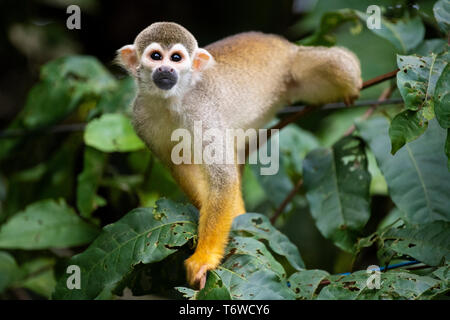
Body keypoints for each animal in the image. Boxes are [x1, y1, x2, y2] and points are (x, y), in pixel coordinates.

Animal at [117, 21, 362, 288]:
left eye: (176, 58)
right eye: (156, 56)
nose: (166, 69)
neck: (170, 101)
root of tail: (278, 41)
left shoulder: (201, 110)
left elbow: (223, 178)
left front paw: (204, 258)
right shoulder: (141, 118)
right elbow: (182, 167)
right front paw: (228, 219)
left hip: (295, 65)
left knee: (339, 66)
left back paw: (354, 85)